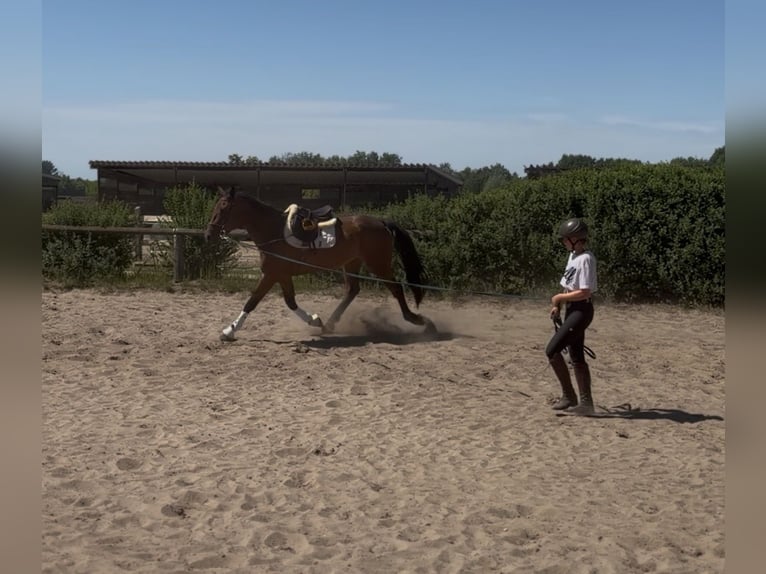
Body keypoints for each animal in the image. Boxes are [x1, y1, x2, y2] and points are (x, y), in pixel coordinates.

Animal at [204, 187, 435, 341]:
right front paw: (316, 321)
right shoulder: (281, 275)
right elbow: (290, 302)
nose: (208, 235)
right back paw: (330, 325)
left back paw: (421, 322)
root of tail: (381, 222)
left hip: (378, 264)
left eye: (224, 208)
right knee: (352, 290)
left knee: (396, 288)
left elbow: (252, 302)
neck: (273, 231)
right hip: (352, 263)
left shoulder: (272, 275)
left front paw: (228, 331)